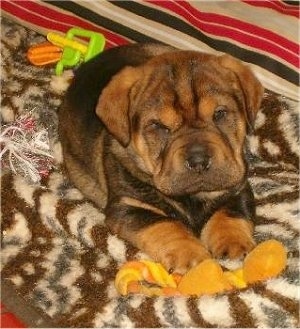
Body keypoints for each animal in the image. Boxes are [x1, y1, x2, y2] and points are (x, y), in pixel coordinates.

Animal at [59, 43, 264, 272]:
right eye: (159, 126)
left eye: (220, 113)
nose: (198, 161)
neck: (191, 197)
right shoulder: (130, 206)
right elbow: (166, 225)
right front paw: (191, 255)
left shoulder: (236, 186)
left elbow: (229, 214)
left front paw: (234, 244)